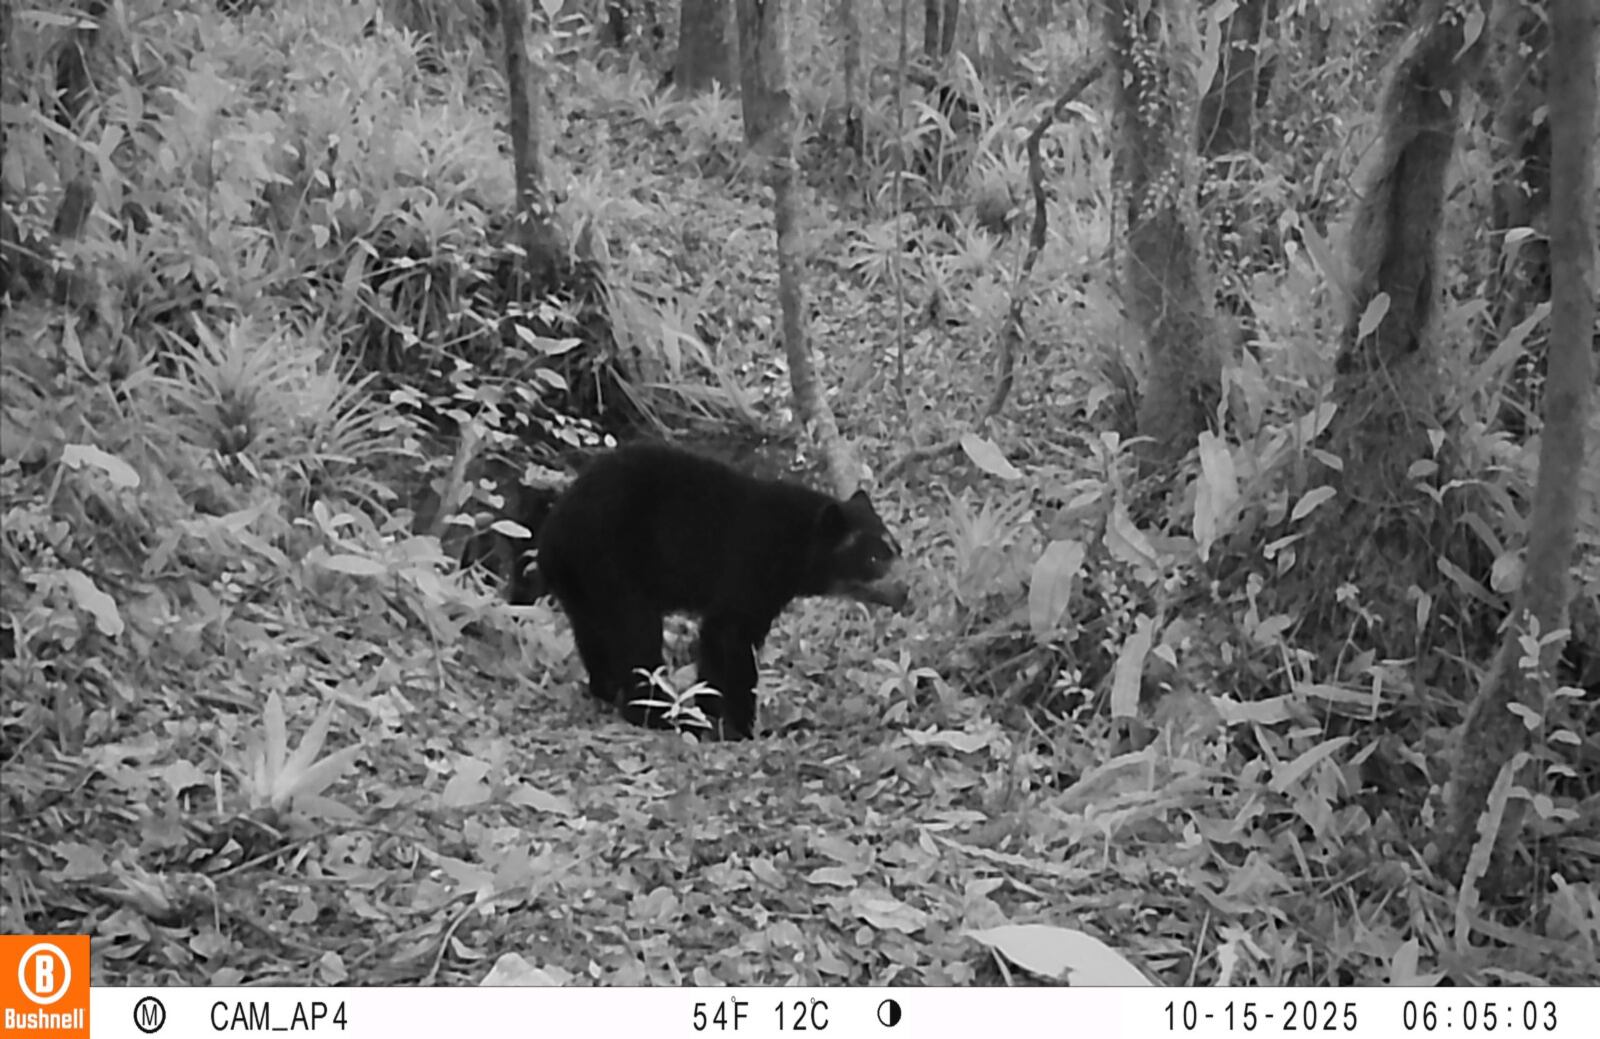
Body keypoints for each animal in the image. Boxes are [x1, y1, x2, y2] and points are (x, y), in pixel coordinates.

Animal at [534, 442, 910, 739]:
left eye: (897, 548)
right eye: (873, 557)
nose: (905, 589)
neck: (795, 548)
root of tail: (552, 534)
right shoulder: (748, 565)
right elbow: (727, 637)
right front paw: (734, 723)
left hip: (583, 583)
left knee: (593, 633)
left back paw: (607, 690)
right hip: (611, 560)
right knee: (637, 635)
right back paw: (656, 713)